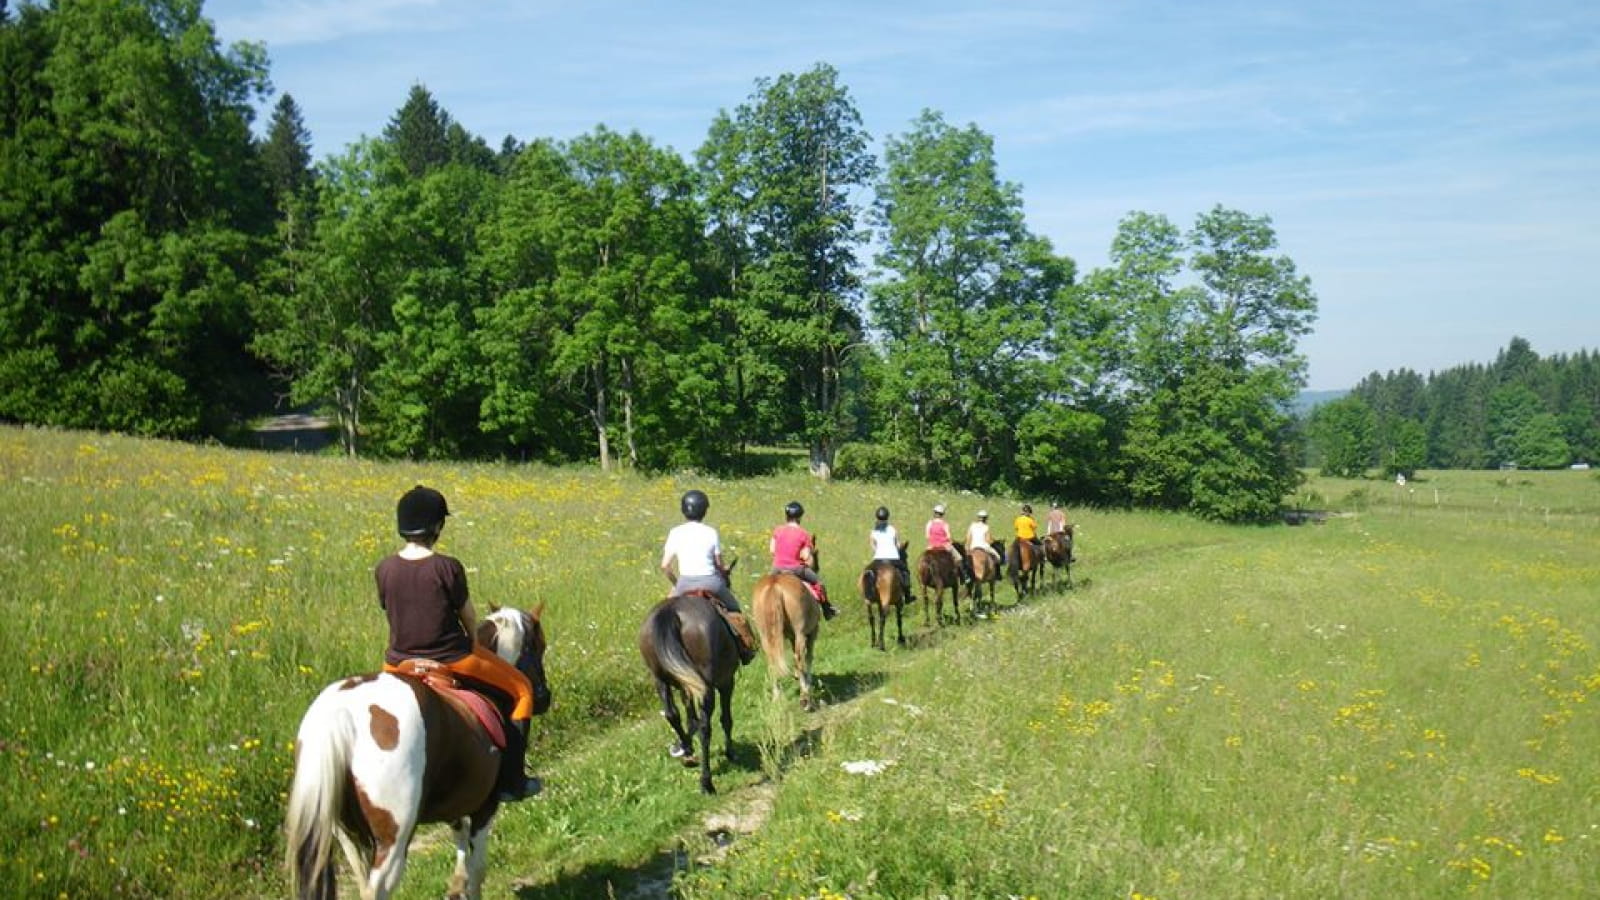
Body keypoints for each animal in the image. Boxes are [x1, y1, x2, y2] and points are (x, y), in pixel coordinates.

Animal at [278, 602, 547, 896]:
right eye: (540, 646)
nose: (545, 697)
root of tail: (340, 713)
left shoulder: (455, 798)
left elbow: (460, 836)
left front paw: (456, 886)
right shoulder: (484, 807)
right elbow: (478, 869)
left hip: (345, 834)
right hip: (394, 839)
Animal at [636, 589, 736, 791]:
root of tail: (671, 612)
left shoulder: (686, 686)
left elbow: (690, 717)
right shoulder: (726, 682)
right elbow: (725, 719)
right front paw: (730, 752)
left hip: (660, 679)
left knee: (671, 714)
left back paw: (687, 751)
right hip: (707, 687)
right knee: (706, 727)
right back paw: (706, 782)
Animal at [752, 566, 825, 707]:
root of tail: (774, 586)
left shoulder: (792, 637)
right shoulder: (812, 633)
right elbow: (809, 657)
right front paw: (808, 682)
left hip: (766, 637)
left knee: (772, 662)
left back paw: (777, 697)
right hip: (800, 633)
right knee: (799, 658)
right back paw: (805, 696)